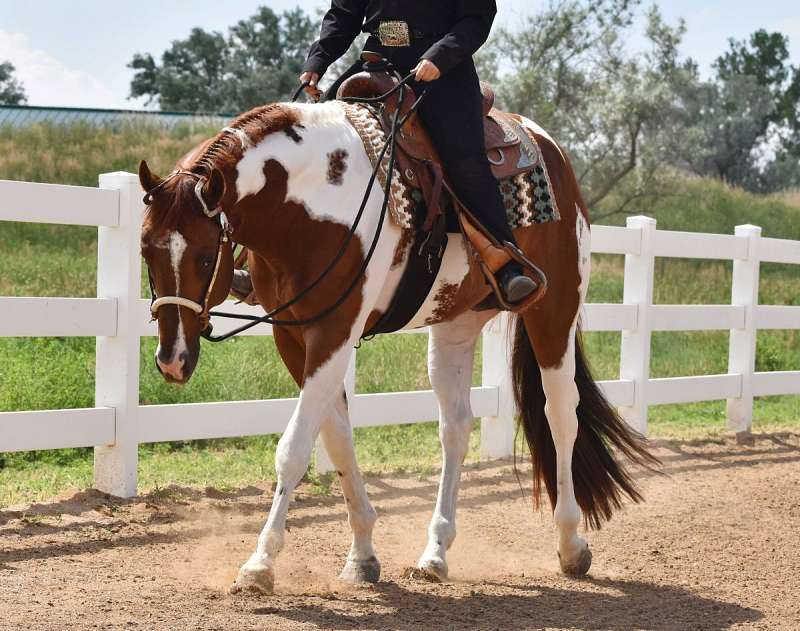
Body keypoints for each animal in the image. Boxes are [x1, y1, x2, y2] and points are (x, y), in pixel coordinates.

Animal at [138, 96, 657, 594]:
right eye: (145, 248)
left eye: (205, 256)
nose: (172, 360)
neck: (314, 203)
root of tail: (549, 146)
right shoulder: (293, 334)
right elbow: (337, 439)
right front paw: (363, 557)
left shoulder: (334, 330)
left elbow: (295, 447)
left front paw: (259, 564)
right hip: (456, 326)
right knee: (455, 427)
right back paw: (435, 554)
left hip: (555, 311)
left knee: (560, 414)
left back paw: (571, 544)